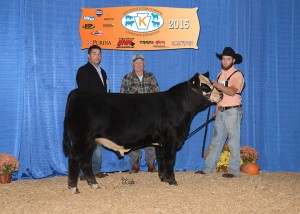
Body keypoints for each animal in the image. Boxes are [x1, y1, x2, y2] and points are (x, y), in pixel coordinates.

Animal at [63, 72, 221, 193]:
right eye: (205, 86)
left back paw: (94, 184)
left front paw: (163, 179)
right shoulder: (170, 140)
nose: (220, 95)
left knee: (85, 160)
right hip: (80, 139)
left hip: (90, 141)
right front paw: (172, 181)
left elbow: (161, 160)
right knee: (74, 158)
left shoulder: (160, 142)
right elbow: (170, 160)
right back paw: (73, 187)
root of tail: (78, 92)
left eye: (212, 83)